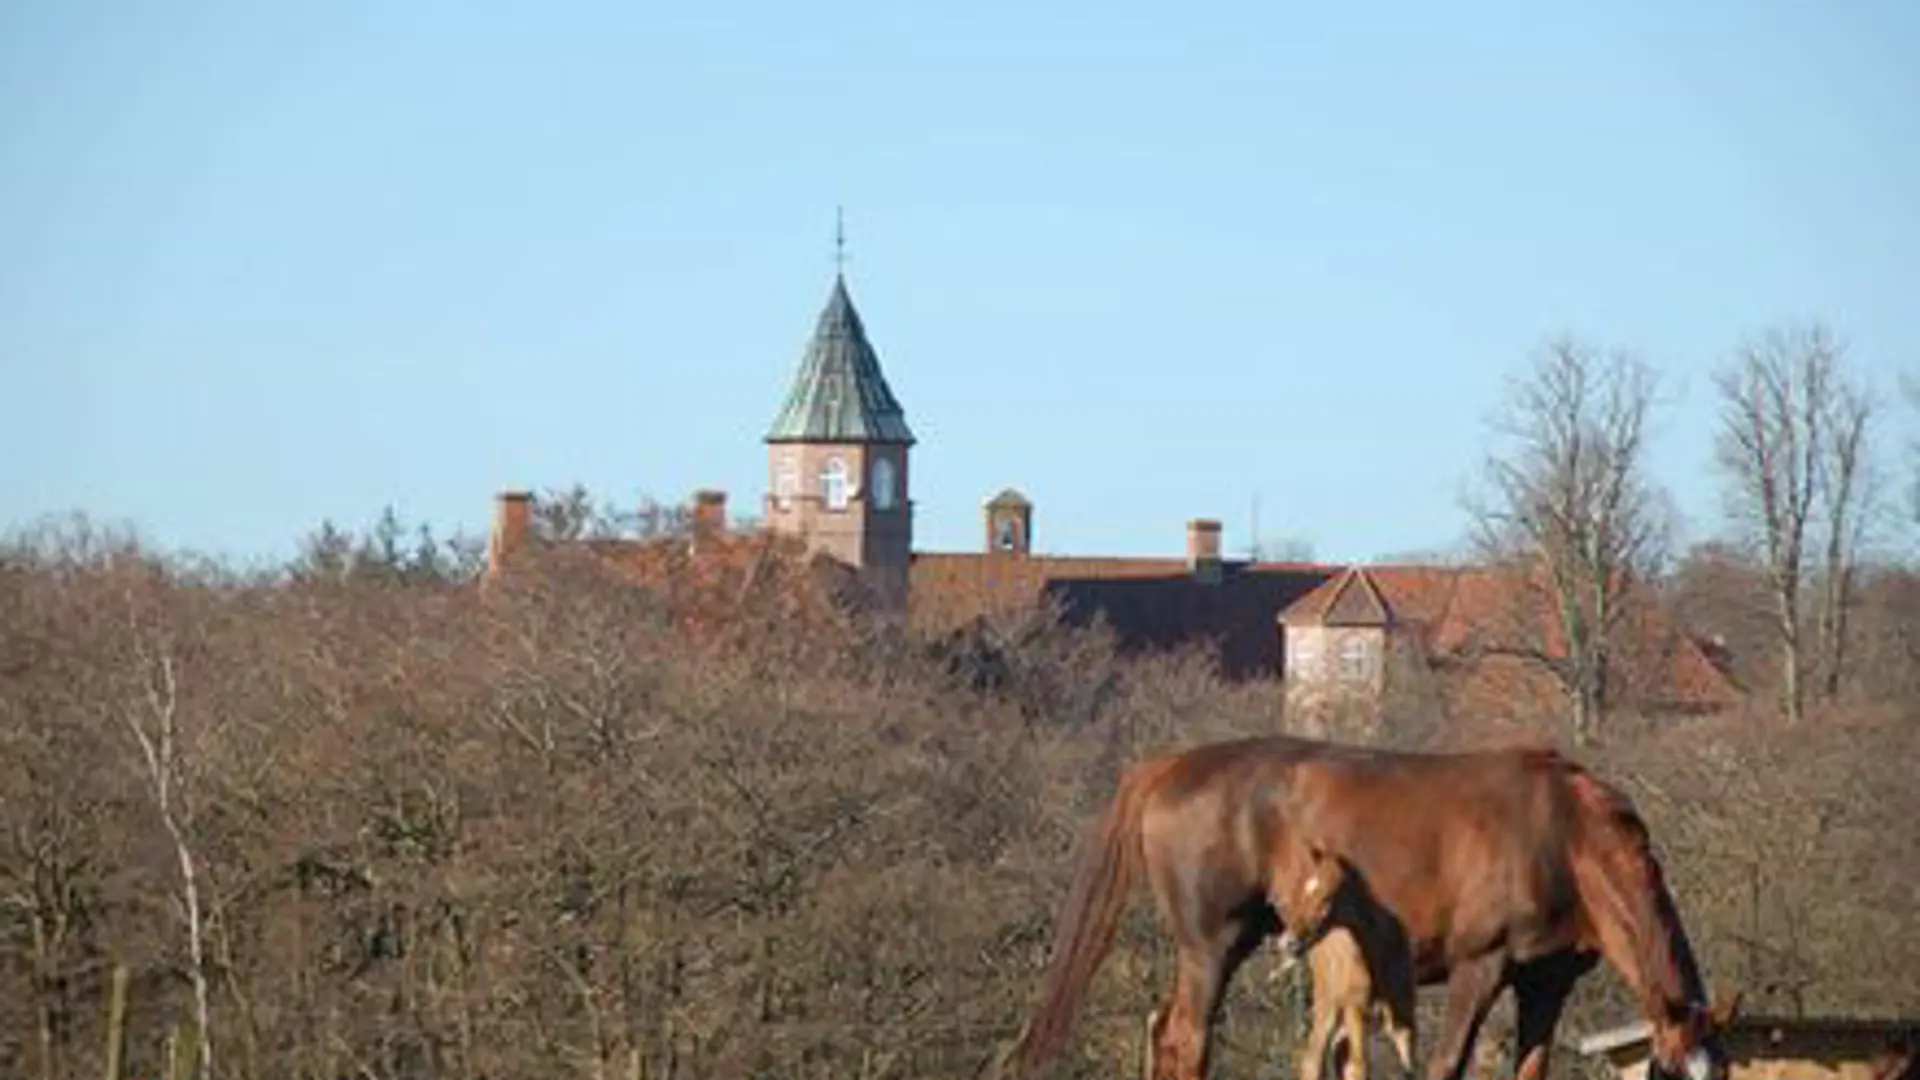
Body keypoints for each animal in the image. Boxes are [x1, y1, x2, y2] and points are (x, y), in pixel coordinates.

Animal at [1268, 835, 1417, 1080]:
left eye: (1326, 897)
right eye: (1304, 891)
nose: (1289, 942)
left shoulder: (1403, 1012)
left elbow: (1408, 1065)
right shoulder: (1355, 1005)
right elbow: (1358, 1067)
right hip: (1328, 1002)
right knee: (1315, 1058)